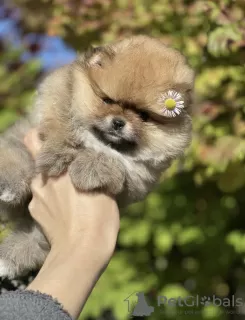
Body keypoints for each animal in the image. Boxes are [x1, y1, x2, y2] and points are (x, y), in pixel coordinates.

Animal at [0, 36, 194, 278]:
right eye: (108, 101)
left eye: (143, 115)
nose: (119, 122)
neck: (96, 140)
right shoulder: (59, 90)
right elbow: (60, 121)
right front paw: (57, 153)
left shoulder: (139, 178)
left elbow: (118, 163)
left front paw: (90, 168)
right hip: (18, 142)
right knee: (14, 158)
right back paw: (10, 186)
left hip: (38, 230)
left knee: (33, 241)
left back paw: (7, 260)